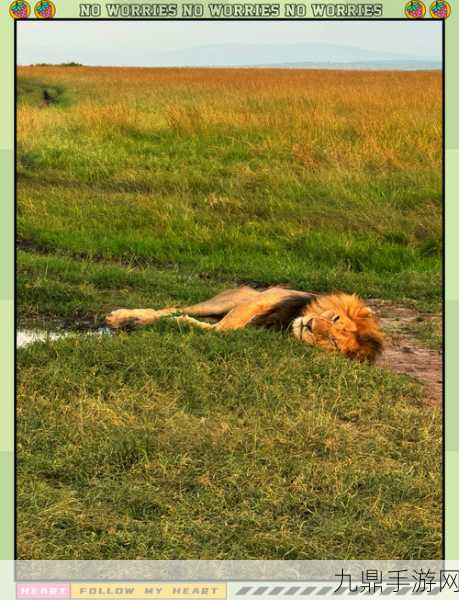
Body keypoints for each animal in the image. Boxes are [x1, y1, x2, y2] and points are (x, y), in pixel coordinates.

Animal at [105, 284, 384, 360]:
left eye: (333, 342)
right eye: (335, 318)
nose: (310, 326)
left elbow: (216, 330)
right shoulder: (268, 298)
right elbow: (225, 327)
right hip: (228, 300)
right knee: (172, 309)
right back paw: (121, 317)